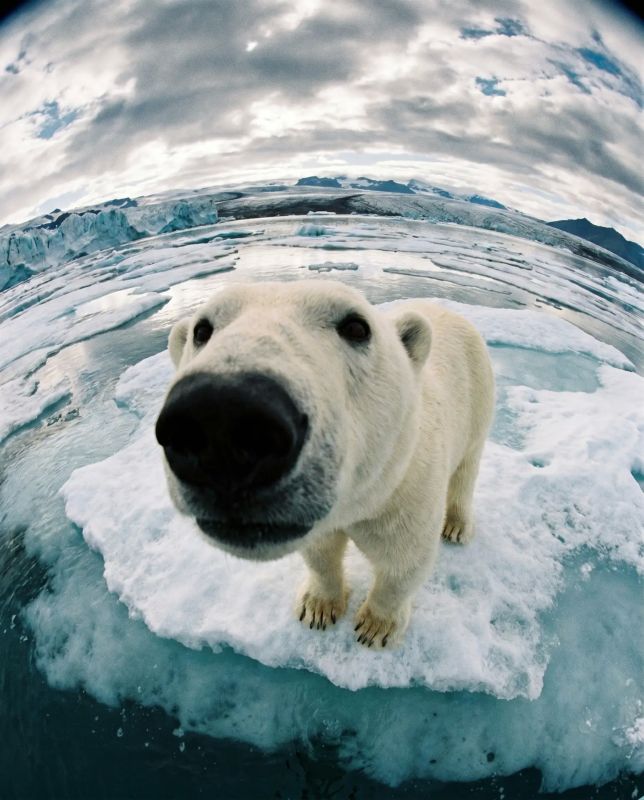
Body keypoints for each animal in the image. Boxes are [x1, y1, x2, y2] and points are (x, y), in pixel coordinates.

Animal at [155, 279, 495, 647]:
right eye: (202, 330)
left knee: (467, 468)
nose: (221, 415)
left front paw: (375, 627)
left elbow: (403, 562)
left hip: (477, 394)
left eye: (356, 327)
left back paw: (457, 524)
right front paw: (318, 608)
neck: (357, 505)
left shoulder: (404, 490)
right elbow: (320, 553)